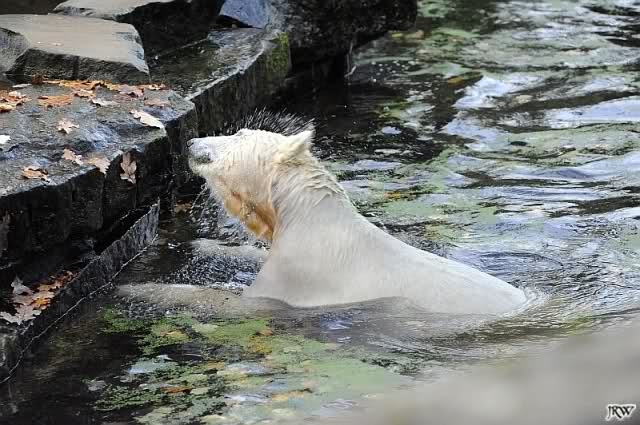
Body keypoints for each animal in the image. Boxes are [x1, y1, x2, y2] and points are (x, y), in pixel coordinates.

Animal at [188, 117, 528, 315]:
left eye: (238, 133)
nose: (191, 141)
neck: (310, 215)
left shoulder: (298, 274)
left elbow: (240, 301)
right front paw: (204, 246)